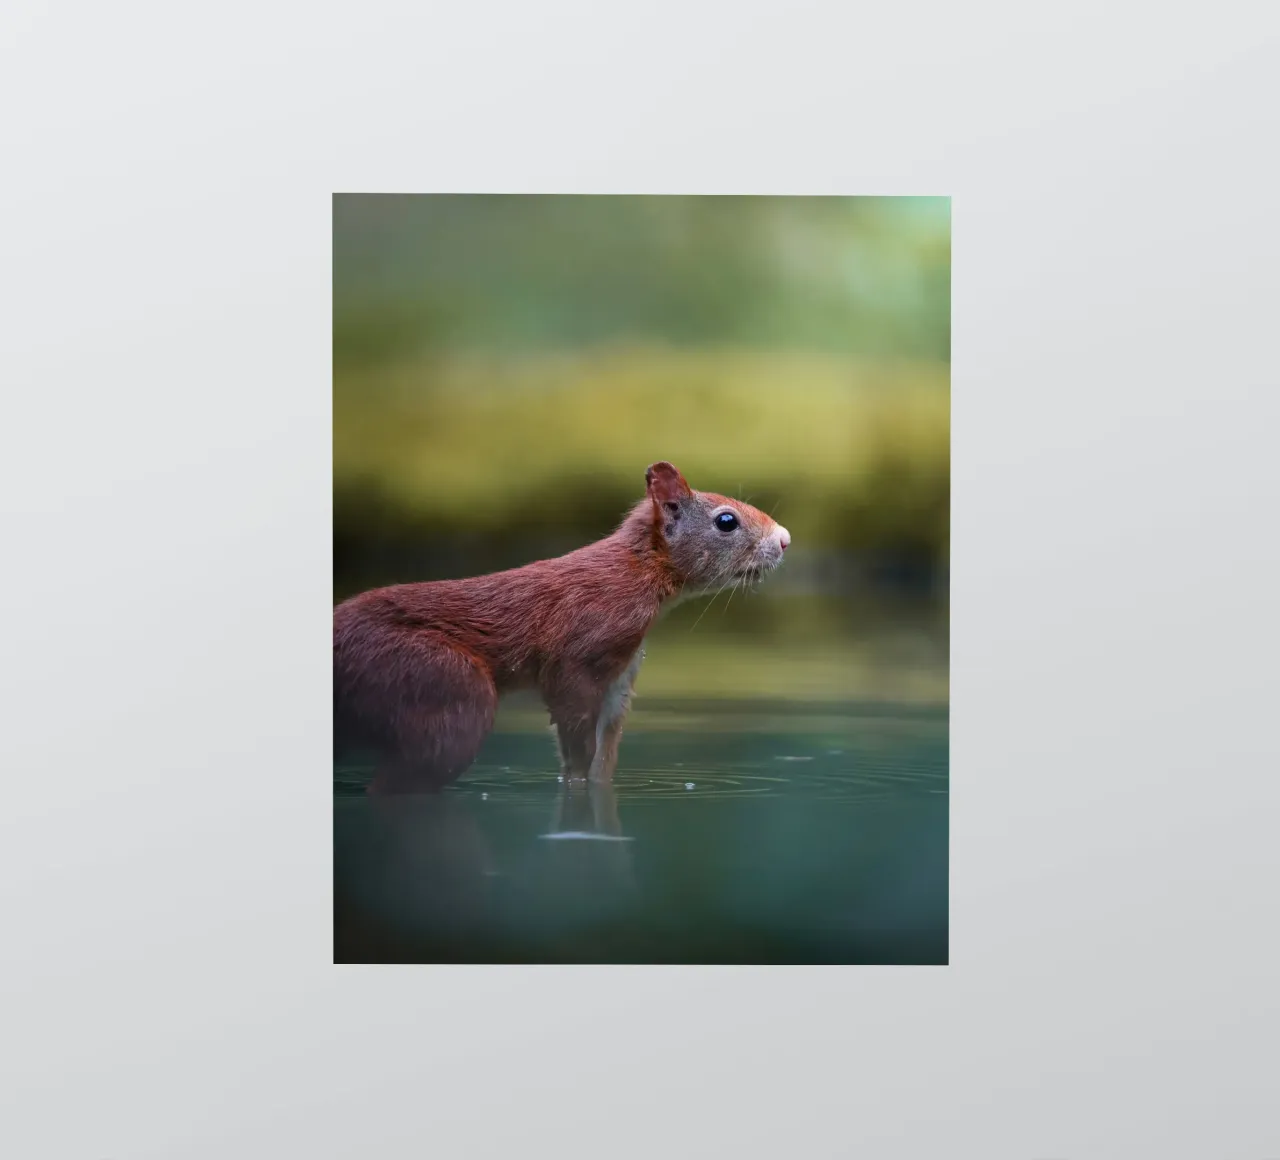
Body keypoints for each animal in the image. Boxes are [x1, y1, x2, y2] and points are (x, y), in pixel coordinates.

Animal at [334, 461, 790, 795]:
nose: (785, 539)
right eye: (726, 521)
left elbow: (603, 755)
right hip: (438, 683)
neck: (637, 573)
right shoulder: (580, 652)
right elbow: (576, 738)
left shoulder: (620, 677)